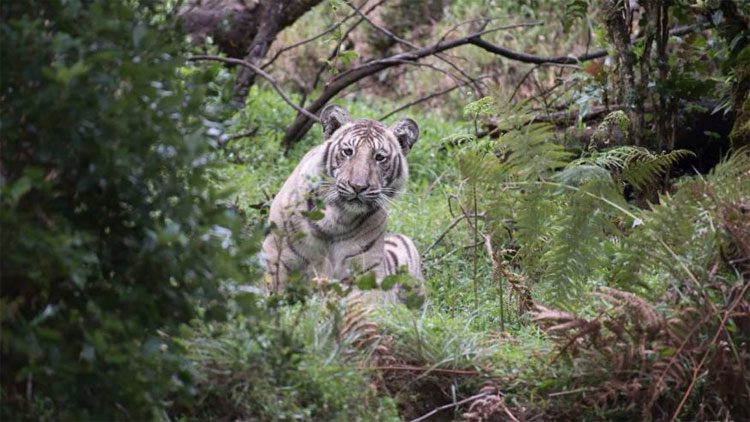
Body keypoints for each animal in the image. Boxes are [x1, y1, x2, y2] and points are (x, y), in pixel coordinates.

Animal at [262, 105, 424, 304]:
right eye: (348, 151)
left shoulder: (366, 272)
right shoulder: (277, 252)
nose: (358, 186)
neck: (336, 217)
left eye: (379, 157)